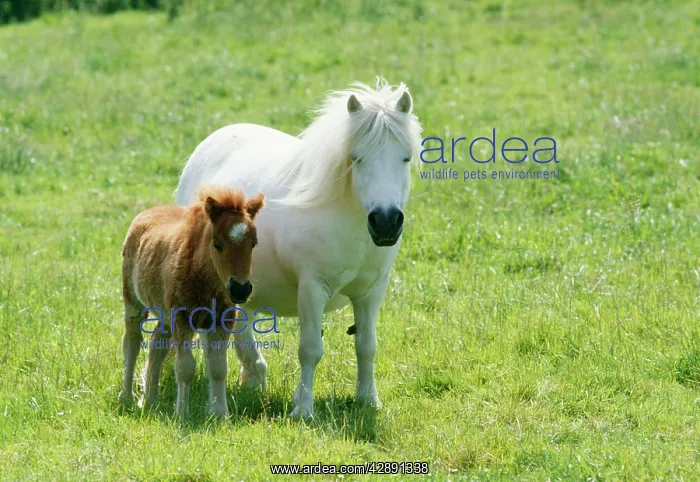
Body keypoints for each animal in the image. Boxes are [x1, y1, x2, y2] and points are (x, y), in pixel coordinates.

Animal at [118, 186, 265, 418]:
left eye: (254, 243)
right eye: (217, 243)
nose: (240, 289)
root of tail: (145, 213)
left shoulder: (221, 321)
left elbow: (218, 366)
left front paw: (220, 414)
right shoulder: (182, 318)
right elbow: (185, 367)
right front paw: (182, 414)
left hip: (165, 313)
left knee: (157, 343)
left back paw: (150, 400)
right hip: (133, 301)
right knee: (132, 342)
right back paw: (126, 397)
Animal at [176, 79, 422, 419]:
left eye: (405, 158)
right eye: (356, 157)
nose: (386, 222)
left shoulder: (372, 291)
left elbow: (367, 346)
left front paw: (367, 399)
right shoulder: (313, 288)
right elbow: (310, 350)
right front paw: (303, 408)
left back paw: (254, 374)